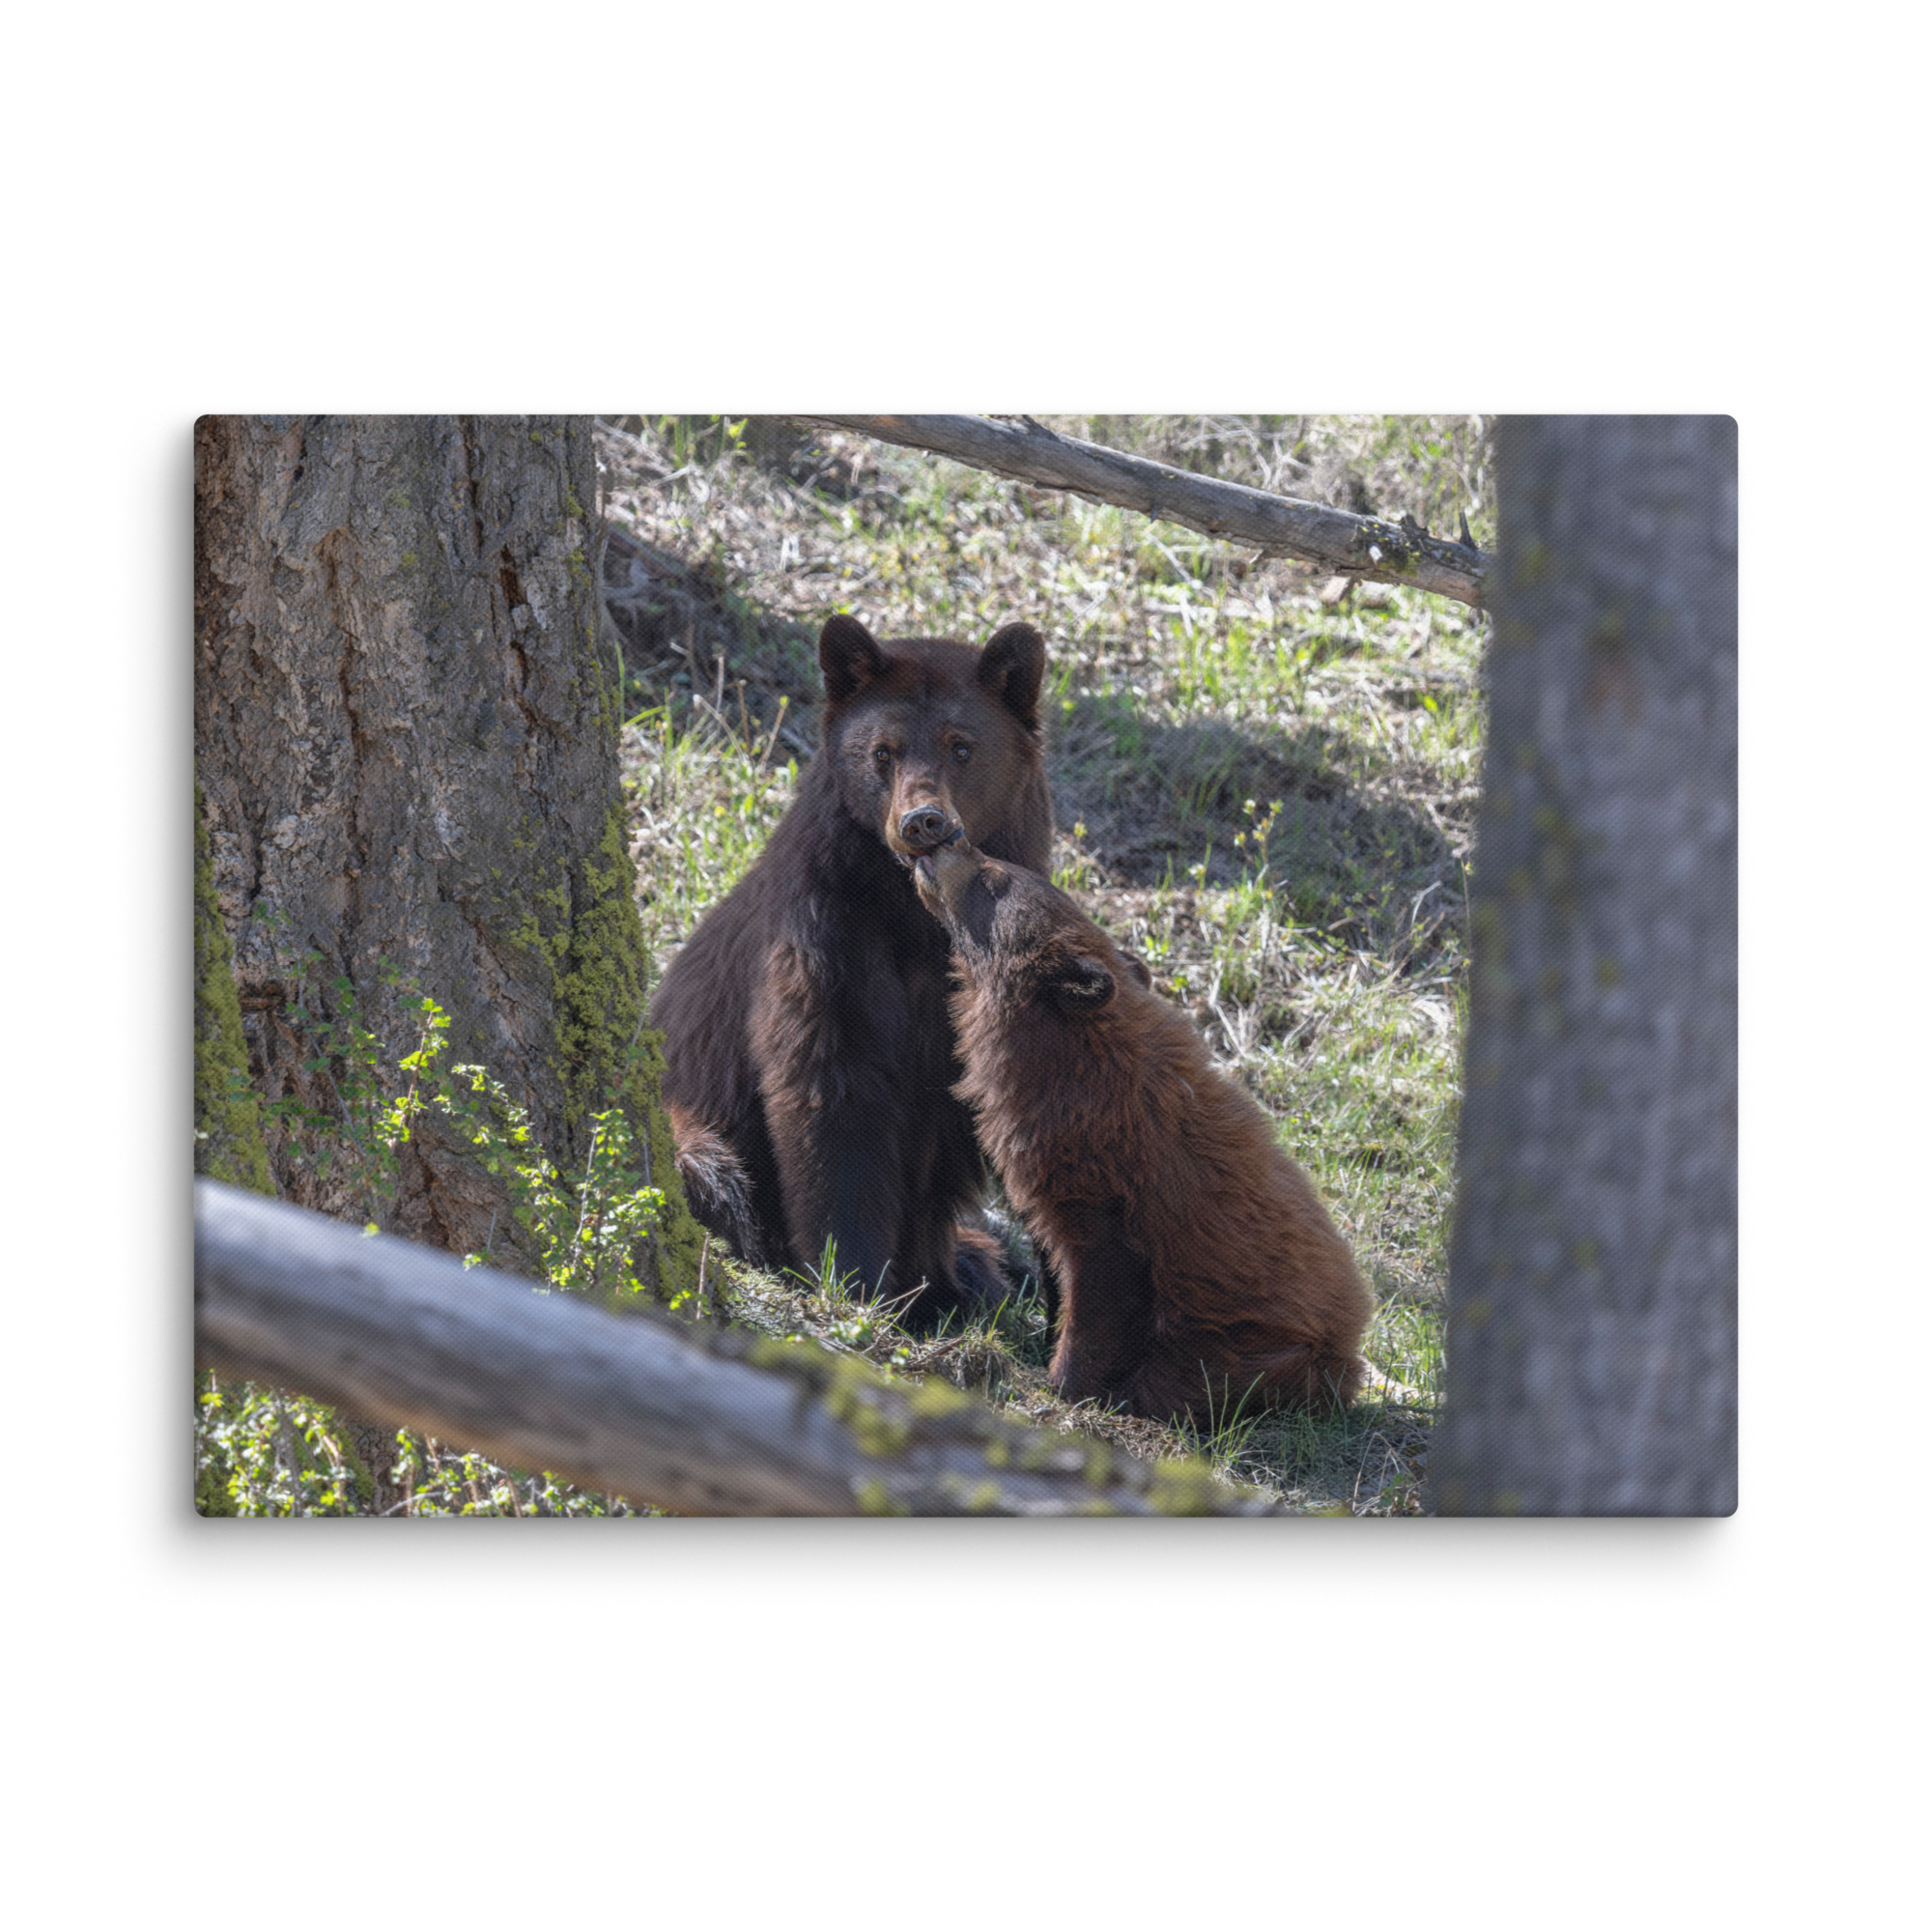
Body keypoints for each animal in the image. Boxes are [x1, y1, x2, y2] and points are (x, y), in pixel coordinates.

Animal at [650, 614, 1053, 1331]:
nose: (923, 821)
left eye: (961, 747)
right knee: (713, 1171)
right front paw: (856, 1281)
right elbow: (831, 1091)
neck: (916, 917)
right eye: (883, 752)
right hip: (688, 1125)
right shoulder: (824, 934)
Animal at [911, 828, 1372, 1423]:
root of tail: (1351, 1349)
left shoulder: (1110, 1182)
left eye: (994, 878)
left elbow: (1102, 1285)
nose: (951, 837)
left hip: (1257, 1348)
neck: (1068, 1060)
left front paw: (1064, 1381)